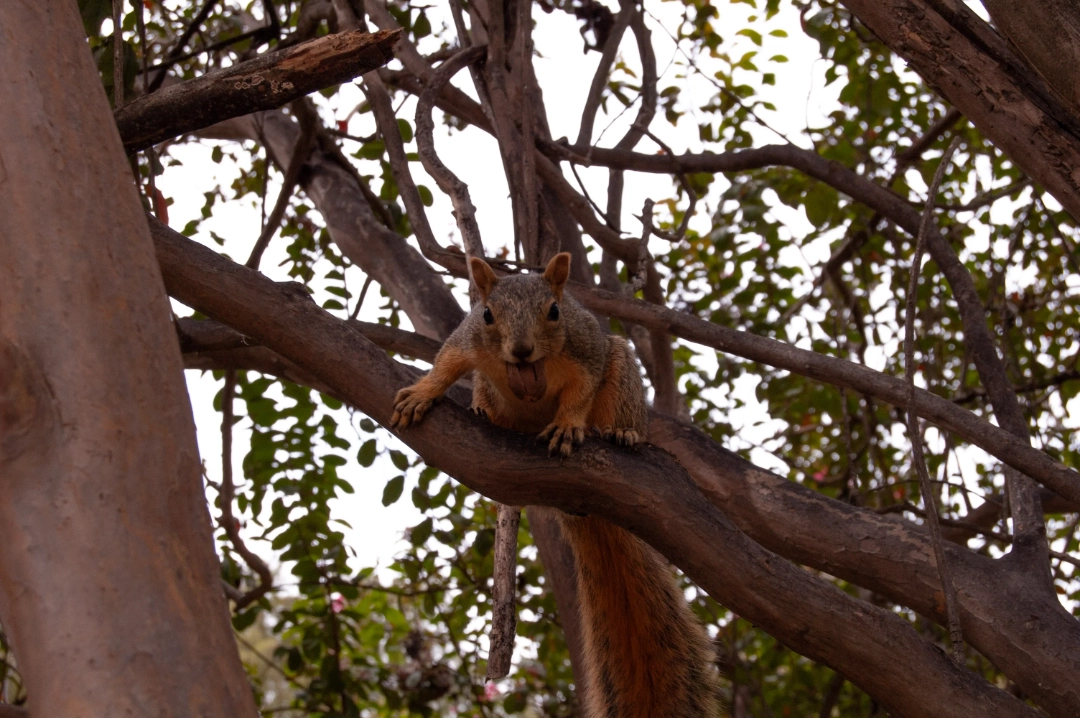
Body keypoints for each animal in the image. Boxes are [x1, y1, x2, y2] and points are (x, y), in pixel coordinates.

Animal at [391, 252, 720, 717]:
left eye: (554, 311)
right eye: (487, 314)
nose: (521, 349)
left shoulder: (584, 352)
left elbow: (579, 392)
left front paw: (566, 425)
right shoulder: (469, 340)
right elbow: (446, 363)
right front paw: (423, 392)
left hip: (621, 374)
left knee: (615, 399)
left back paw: (623, 434)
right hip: (489, 389)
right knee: (485, 392)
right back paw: (486, 411)